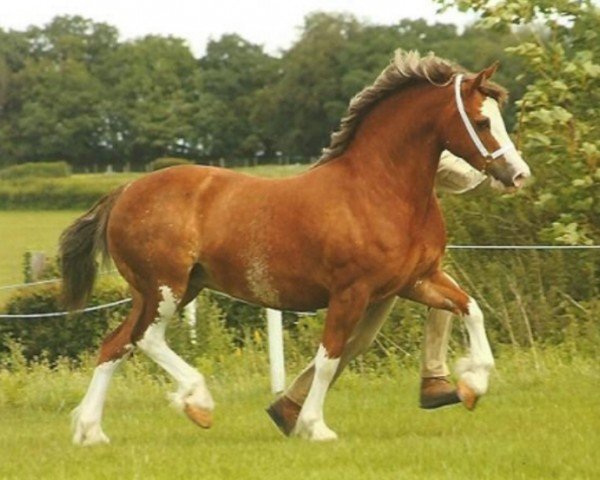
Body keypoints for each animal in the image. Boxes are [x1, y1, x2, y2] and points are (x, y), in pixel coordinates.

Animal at [61, 50, 528, 444]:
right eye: (482, 123)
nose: (518, 175)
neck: (378, 191)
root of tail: (124, 192)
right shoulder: (350, 293)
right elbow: (329, 358)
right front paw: (315, 427)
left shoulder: (415, 281)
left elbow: (471, 309)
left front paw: (473, 383)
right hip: (165, 288)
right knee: (146, 339)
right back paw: (197, 402)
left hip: (167, 290)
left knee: (116, 344)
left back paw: (91, 432)